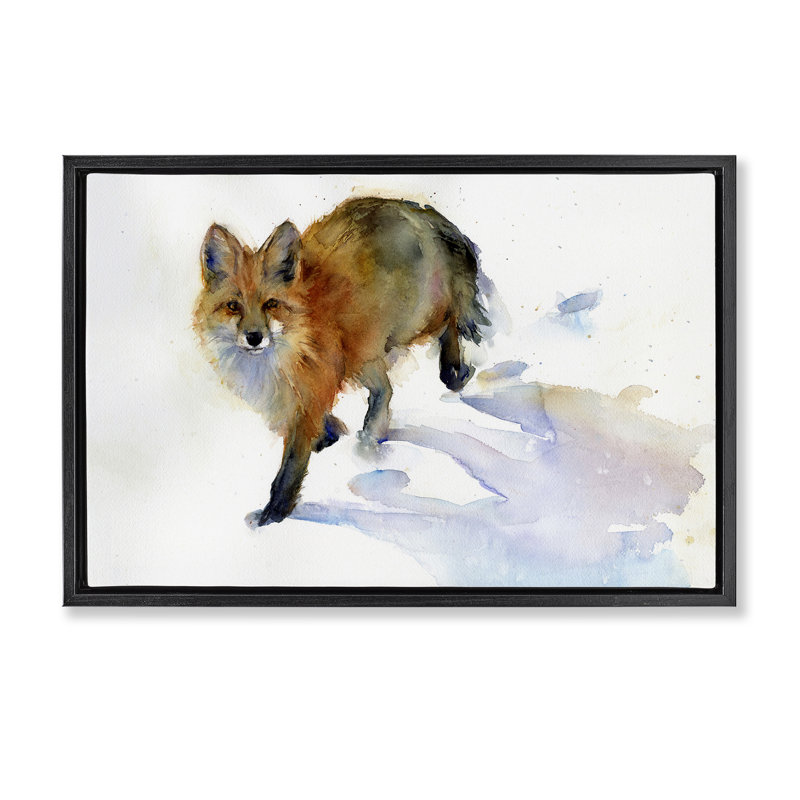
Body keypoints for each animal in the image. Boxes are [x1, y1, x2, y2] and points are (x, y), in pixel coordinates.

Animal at [194, 196, 488, 526]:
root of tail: (413, 208)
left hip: (410, 324)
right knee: (385, 389)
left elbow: (289, 468)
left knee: (449, 318)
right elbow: (320, 426)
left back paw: (453, 370)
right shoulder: (297, 396)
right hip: (365, 352)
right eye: (233, 306)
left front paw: (274, 515)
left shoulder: (309, 396)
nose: (254, 337)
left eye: (271, 304)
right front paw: (330, 435)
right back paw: (373, 432)